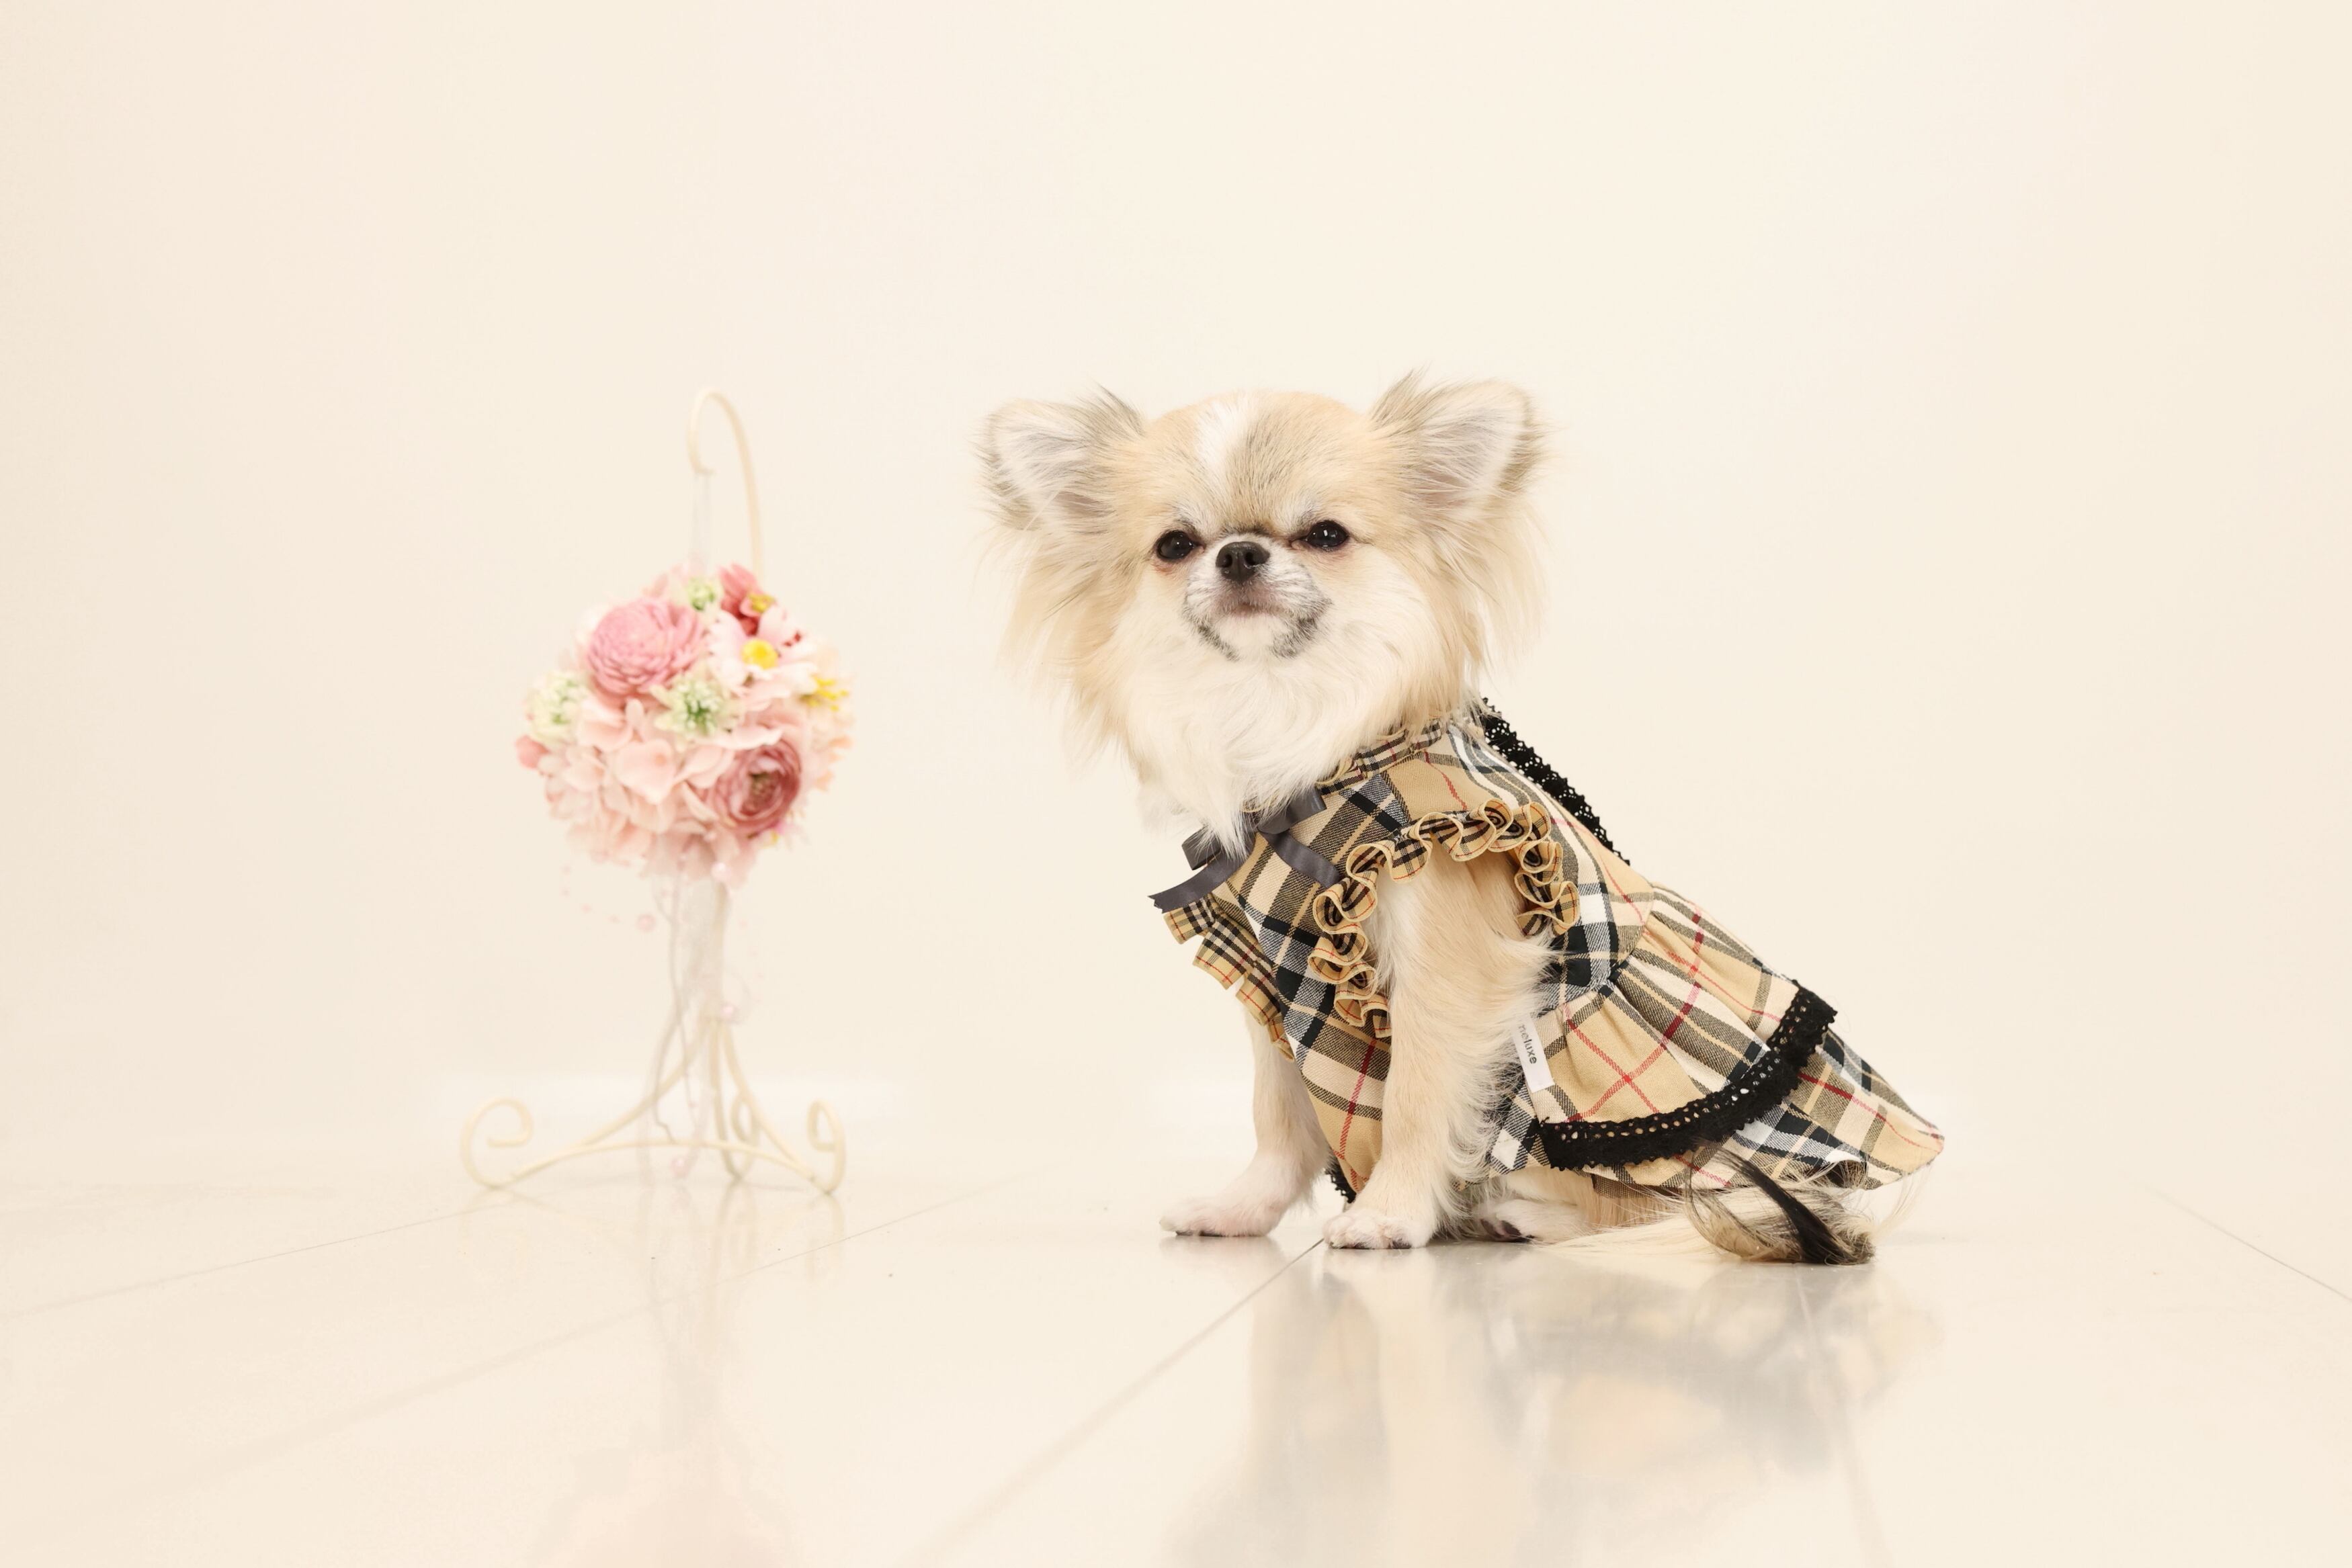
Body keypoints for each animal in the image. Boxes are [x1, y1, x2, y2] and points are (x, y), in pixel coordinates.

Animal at [981, 376, 1940, 1260]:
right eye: (1174, 547)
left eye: (1324, 536)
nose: (1239, 554)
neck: (1301, 737)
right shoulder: (1268, 972)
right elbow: (1278, 1112)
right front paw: (1244, 1209)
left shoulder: (1447, 970)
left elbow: (1414, 1098)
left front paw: (1389, 1216)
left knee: (1661, 1209)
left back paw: (1529, 1214)